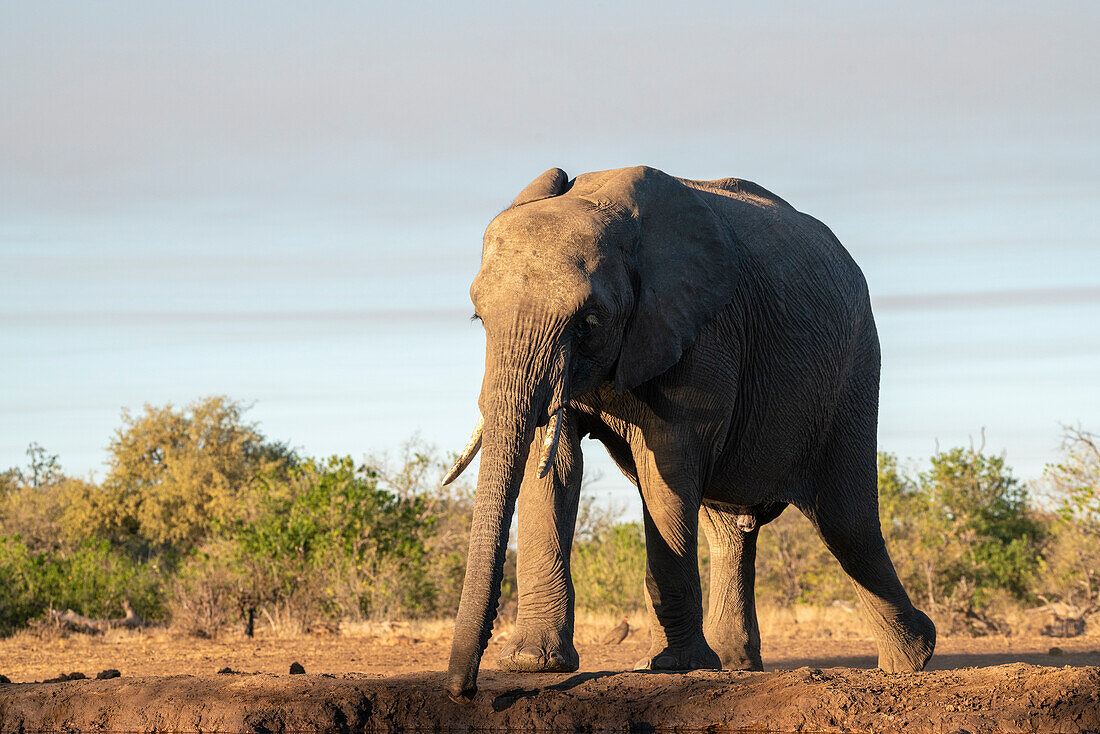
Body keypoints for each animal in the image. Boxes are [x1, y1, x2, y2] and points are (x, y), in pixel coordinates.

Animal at [442, 165, 932, 699]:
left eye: (589, 321)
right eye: (479, 318)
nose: (463, 691)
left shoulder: (701, 329)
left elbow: (668, 465)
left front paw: (672, 668)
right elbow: (554, 465)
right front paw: (534, 665)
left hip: (855, 368)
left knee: (847, 524)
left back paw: (910, 660)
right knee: (733, 530)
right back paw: (735, 665)